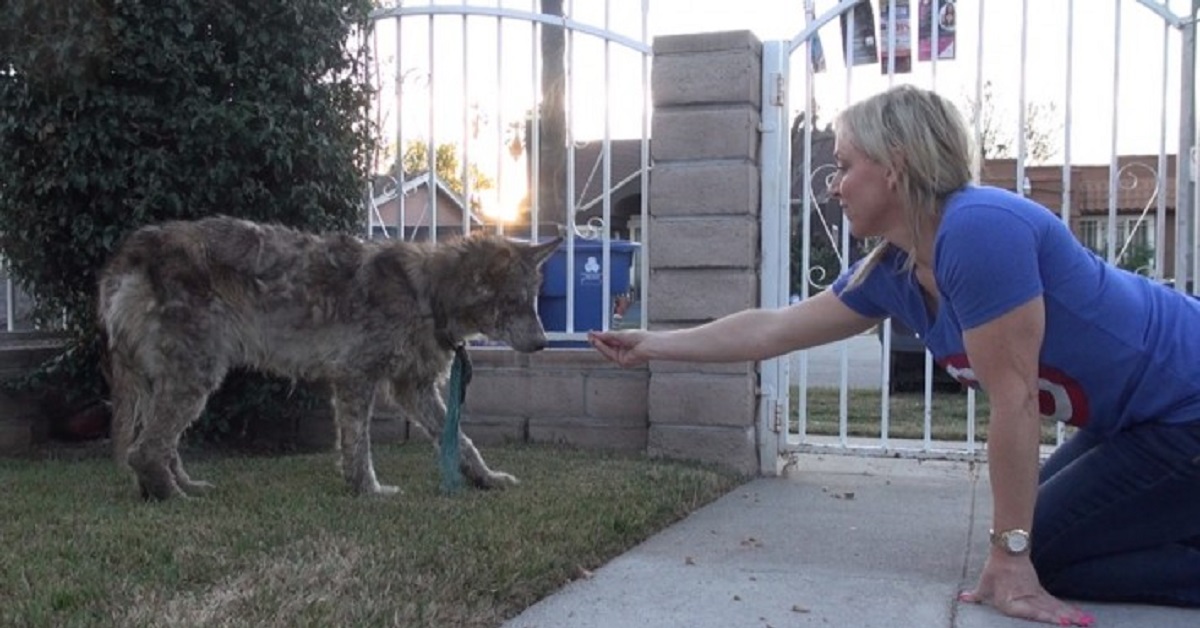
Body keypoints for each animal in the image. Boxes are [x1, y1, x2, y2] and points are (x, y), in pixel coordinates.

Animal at [97, 216, 556, 501]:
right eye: (515, 302)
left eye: (533, 301)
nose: (543, 343)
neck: (426, 293)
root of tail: (134, 248)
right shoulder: (355, 378)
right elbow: (358, 446)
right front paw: (368, 492)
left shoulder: (414, 389)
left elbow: (462, 441)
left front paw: (487, 480)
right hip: (195, 377)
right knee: (143, 451)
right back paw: (175, 498)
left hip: (172, 381)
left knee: (162, 448)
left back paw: (182, 488)